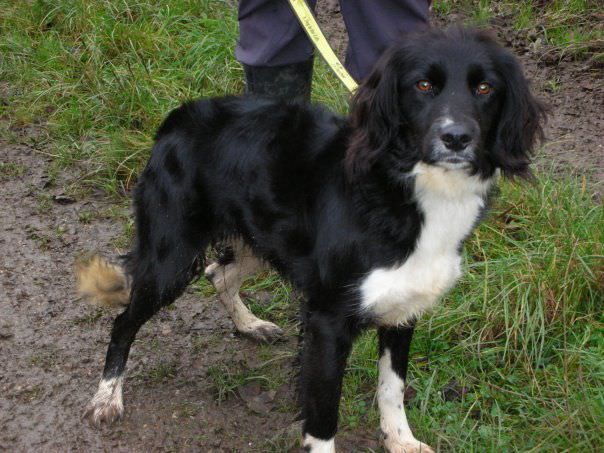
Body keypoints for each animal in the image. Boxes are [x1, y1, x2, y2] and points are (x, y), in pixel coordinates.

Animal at [78, 27, 544, 452]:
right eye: (423, 85)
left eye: (485, 87)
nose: (457, 138)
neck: (405, 190)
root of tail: (180, 115)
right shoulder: (327, 320)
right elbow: (322, 416)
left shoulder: (402, 309)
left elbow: (391, 387)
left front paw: (401, 441)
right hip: (172, 256)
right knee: (124, 322)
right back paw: (106, 398)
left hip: (261, 237)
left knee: (219, 272)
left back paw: (249, 324)